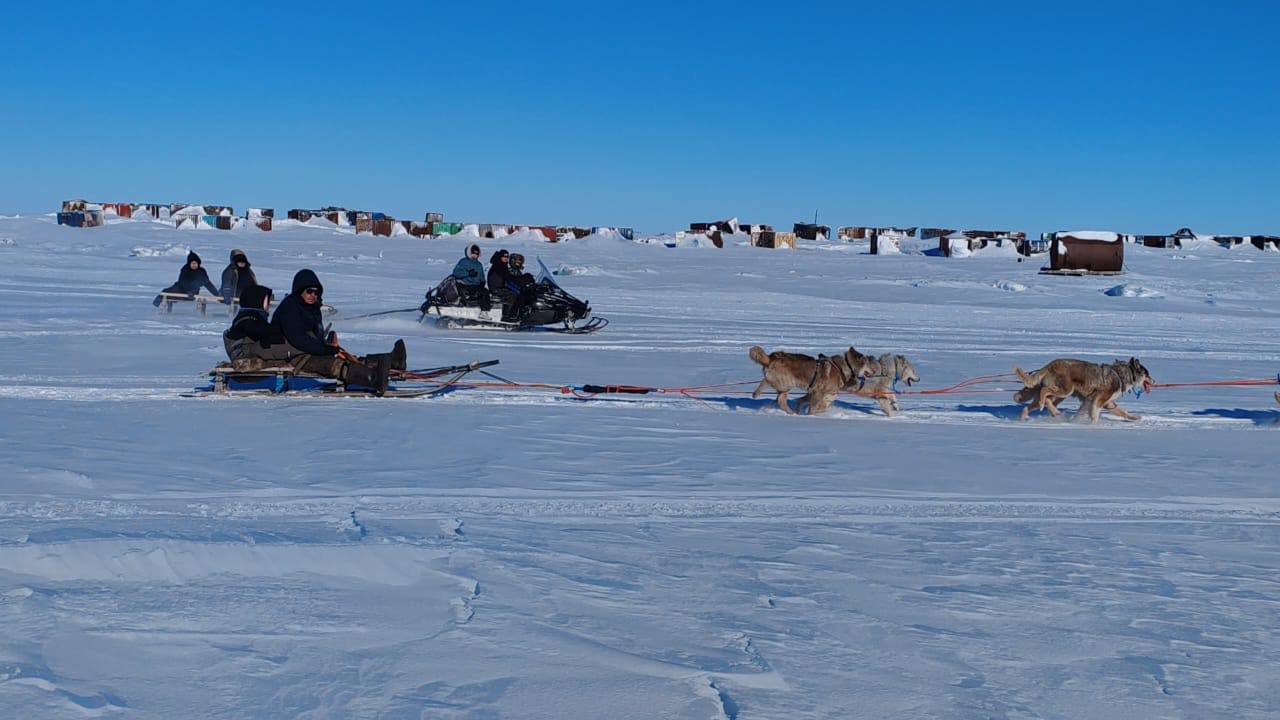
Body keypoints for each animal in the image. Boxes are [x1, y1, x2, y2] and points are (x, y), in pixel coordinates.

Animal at [747, 343, 875, 412]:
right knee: (766, 381)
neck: (843, 367)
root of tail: (771, 358)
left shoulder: (819, 393)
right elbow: (812, 408)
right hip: (785, 382)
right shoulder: (818, 392)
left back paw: (793, 413)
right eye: (868, 363)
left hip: (785, 386)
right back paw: (756, 393)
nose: (874, 371)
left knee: (780, 400)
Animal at [1013, 353, 1157, 420]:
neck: (1121, 375)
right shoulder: (1098, 401)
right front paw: (1094, 426)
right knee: (1044, 392)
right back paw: (1052, 410)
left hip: (1059, 395)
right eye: (1147, 374)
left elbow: (1124, 412)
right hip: (1065, 390)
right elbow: (1094, 415)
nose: (1154, 380)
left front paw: (1135, 418)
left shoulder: (1107, 403)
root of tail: (1049, 365)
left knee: (1033, 404)